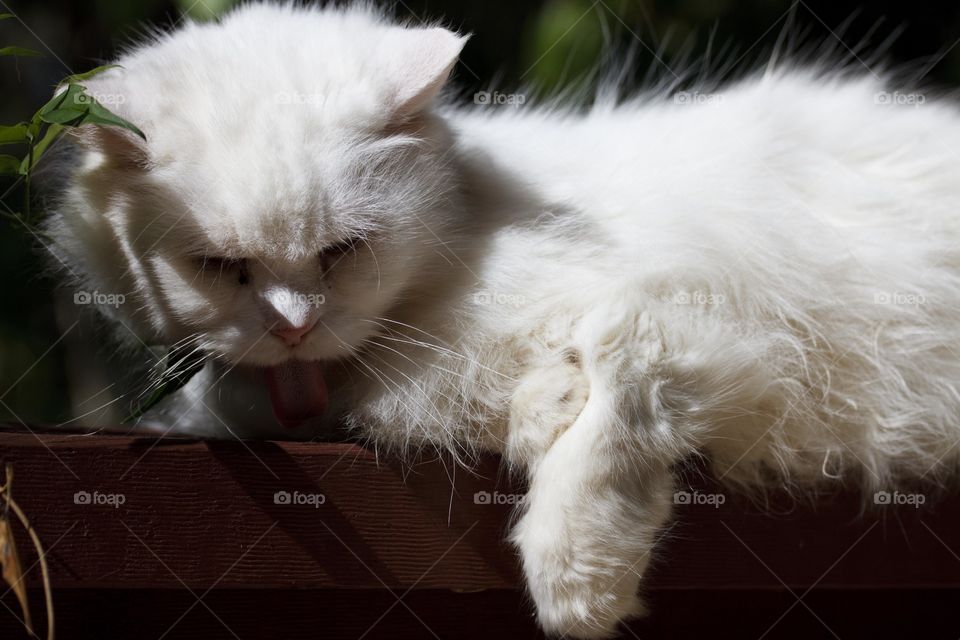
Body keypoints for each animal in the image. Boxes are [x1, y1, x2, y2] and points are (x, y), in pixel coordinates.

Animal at [47, 2, 960, 636]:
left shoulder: (688, 320)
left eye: (343, 251)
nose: (294, 328)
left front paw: (580, 582)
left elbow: (607, 429)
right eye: (221, 267)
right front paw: (538, 408)